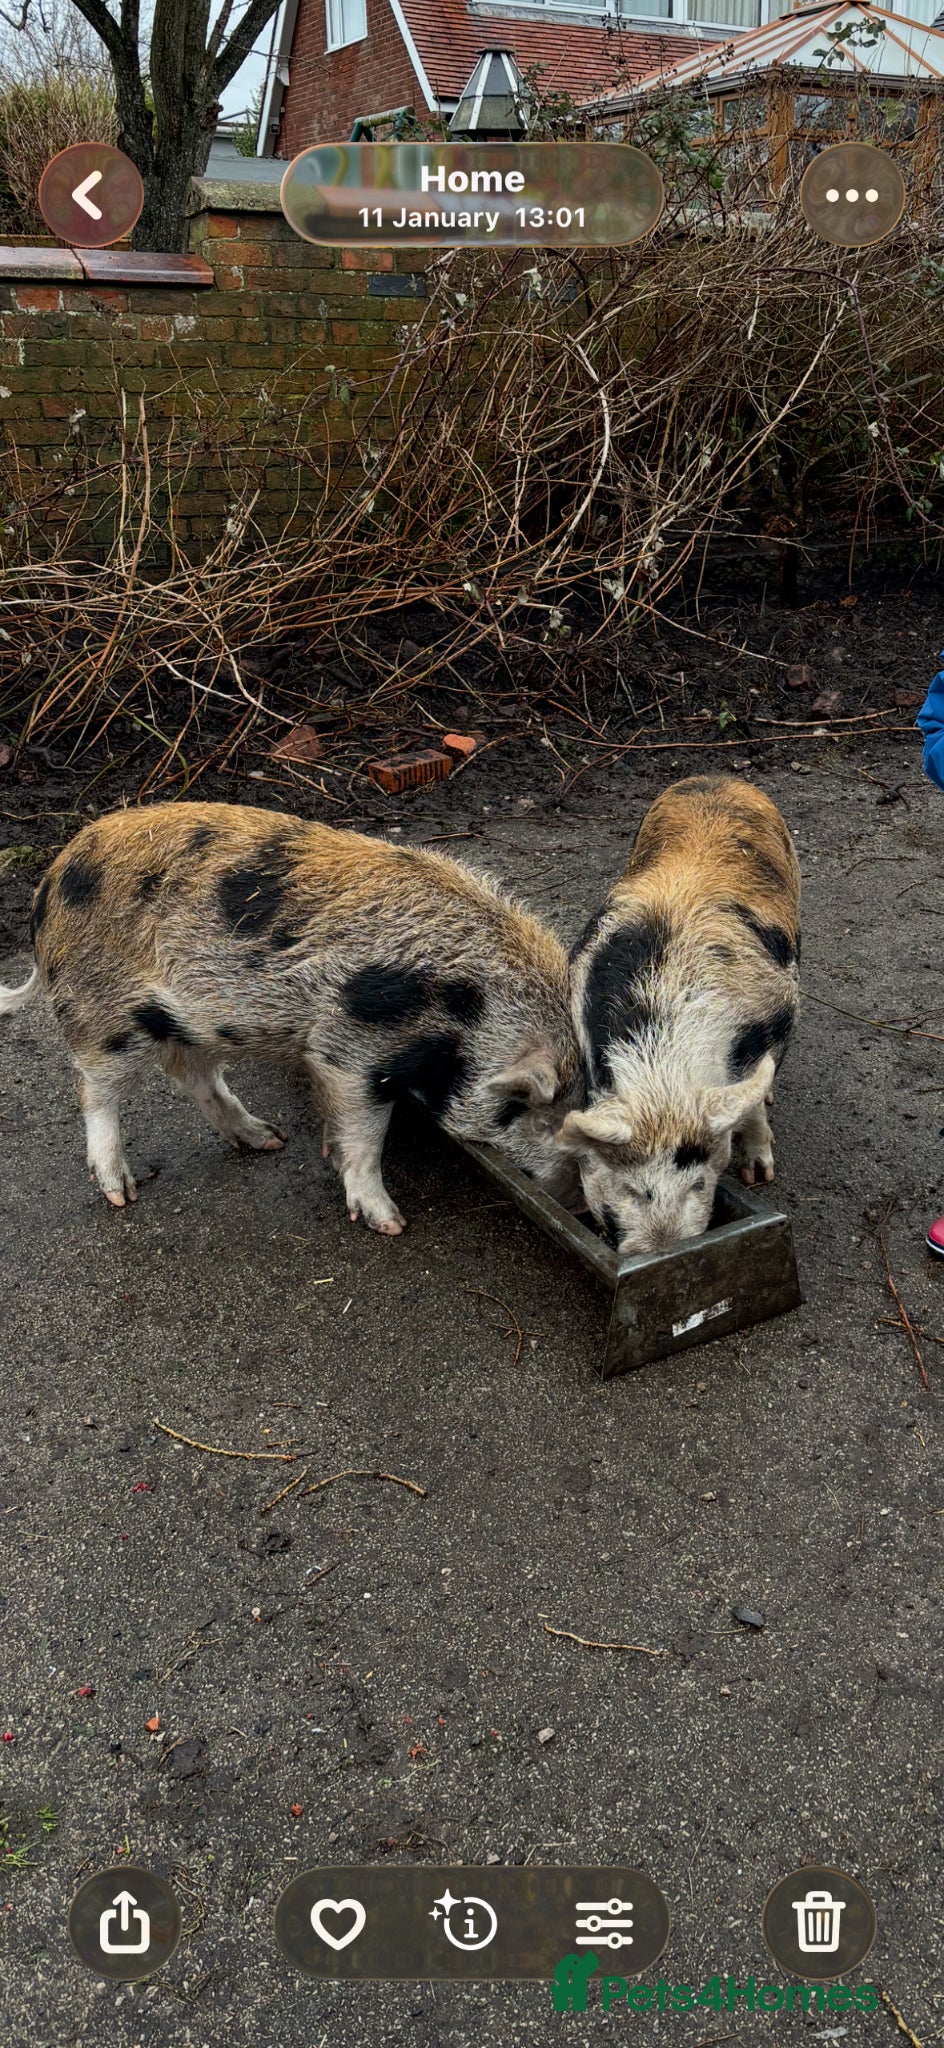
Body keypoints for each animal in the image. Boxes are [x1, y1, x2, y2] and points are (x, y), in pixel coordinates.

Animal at [0, 802, 583, 1230]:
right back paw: (121, 1193)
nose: (576, 1202)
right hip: (104, 1013)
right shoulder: (351, 1050)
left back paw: (267, 1139)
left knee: (193, 1075)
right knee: (94, 1091)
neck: (468, 1010)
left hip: (191, 1021)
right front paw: (390, 1223)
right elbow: (368, 1134)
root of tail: (48, 884)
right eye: (535, 1111)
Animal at [560, 775, 800, 1256]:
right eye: (630, 1189)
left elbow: (751, 1106)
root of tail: (716, 777)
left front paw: (759, 1175)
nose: (662, 1247)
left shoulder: (780, 1011)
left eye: (698, 1184)